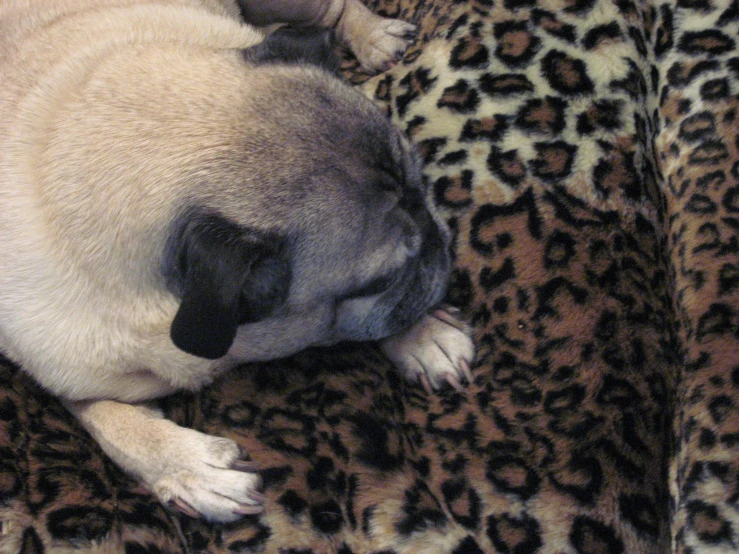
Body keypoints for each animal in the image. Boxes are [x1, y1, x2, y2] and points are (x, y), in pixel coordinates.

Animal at [0, 0, 474, 520]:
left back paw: (373, 37)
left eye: (423, 183)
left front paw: (425, 336)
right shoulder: (67, 379)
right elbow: (111, 422)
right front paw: (191, 467)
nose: (439, 237)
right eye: (379, 281)